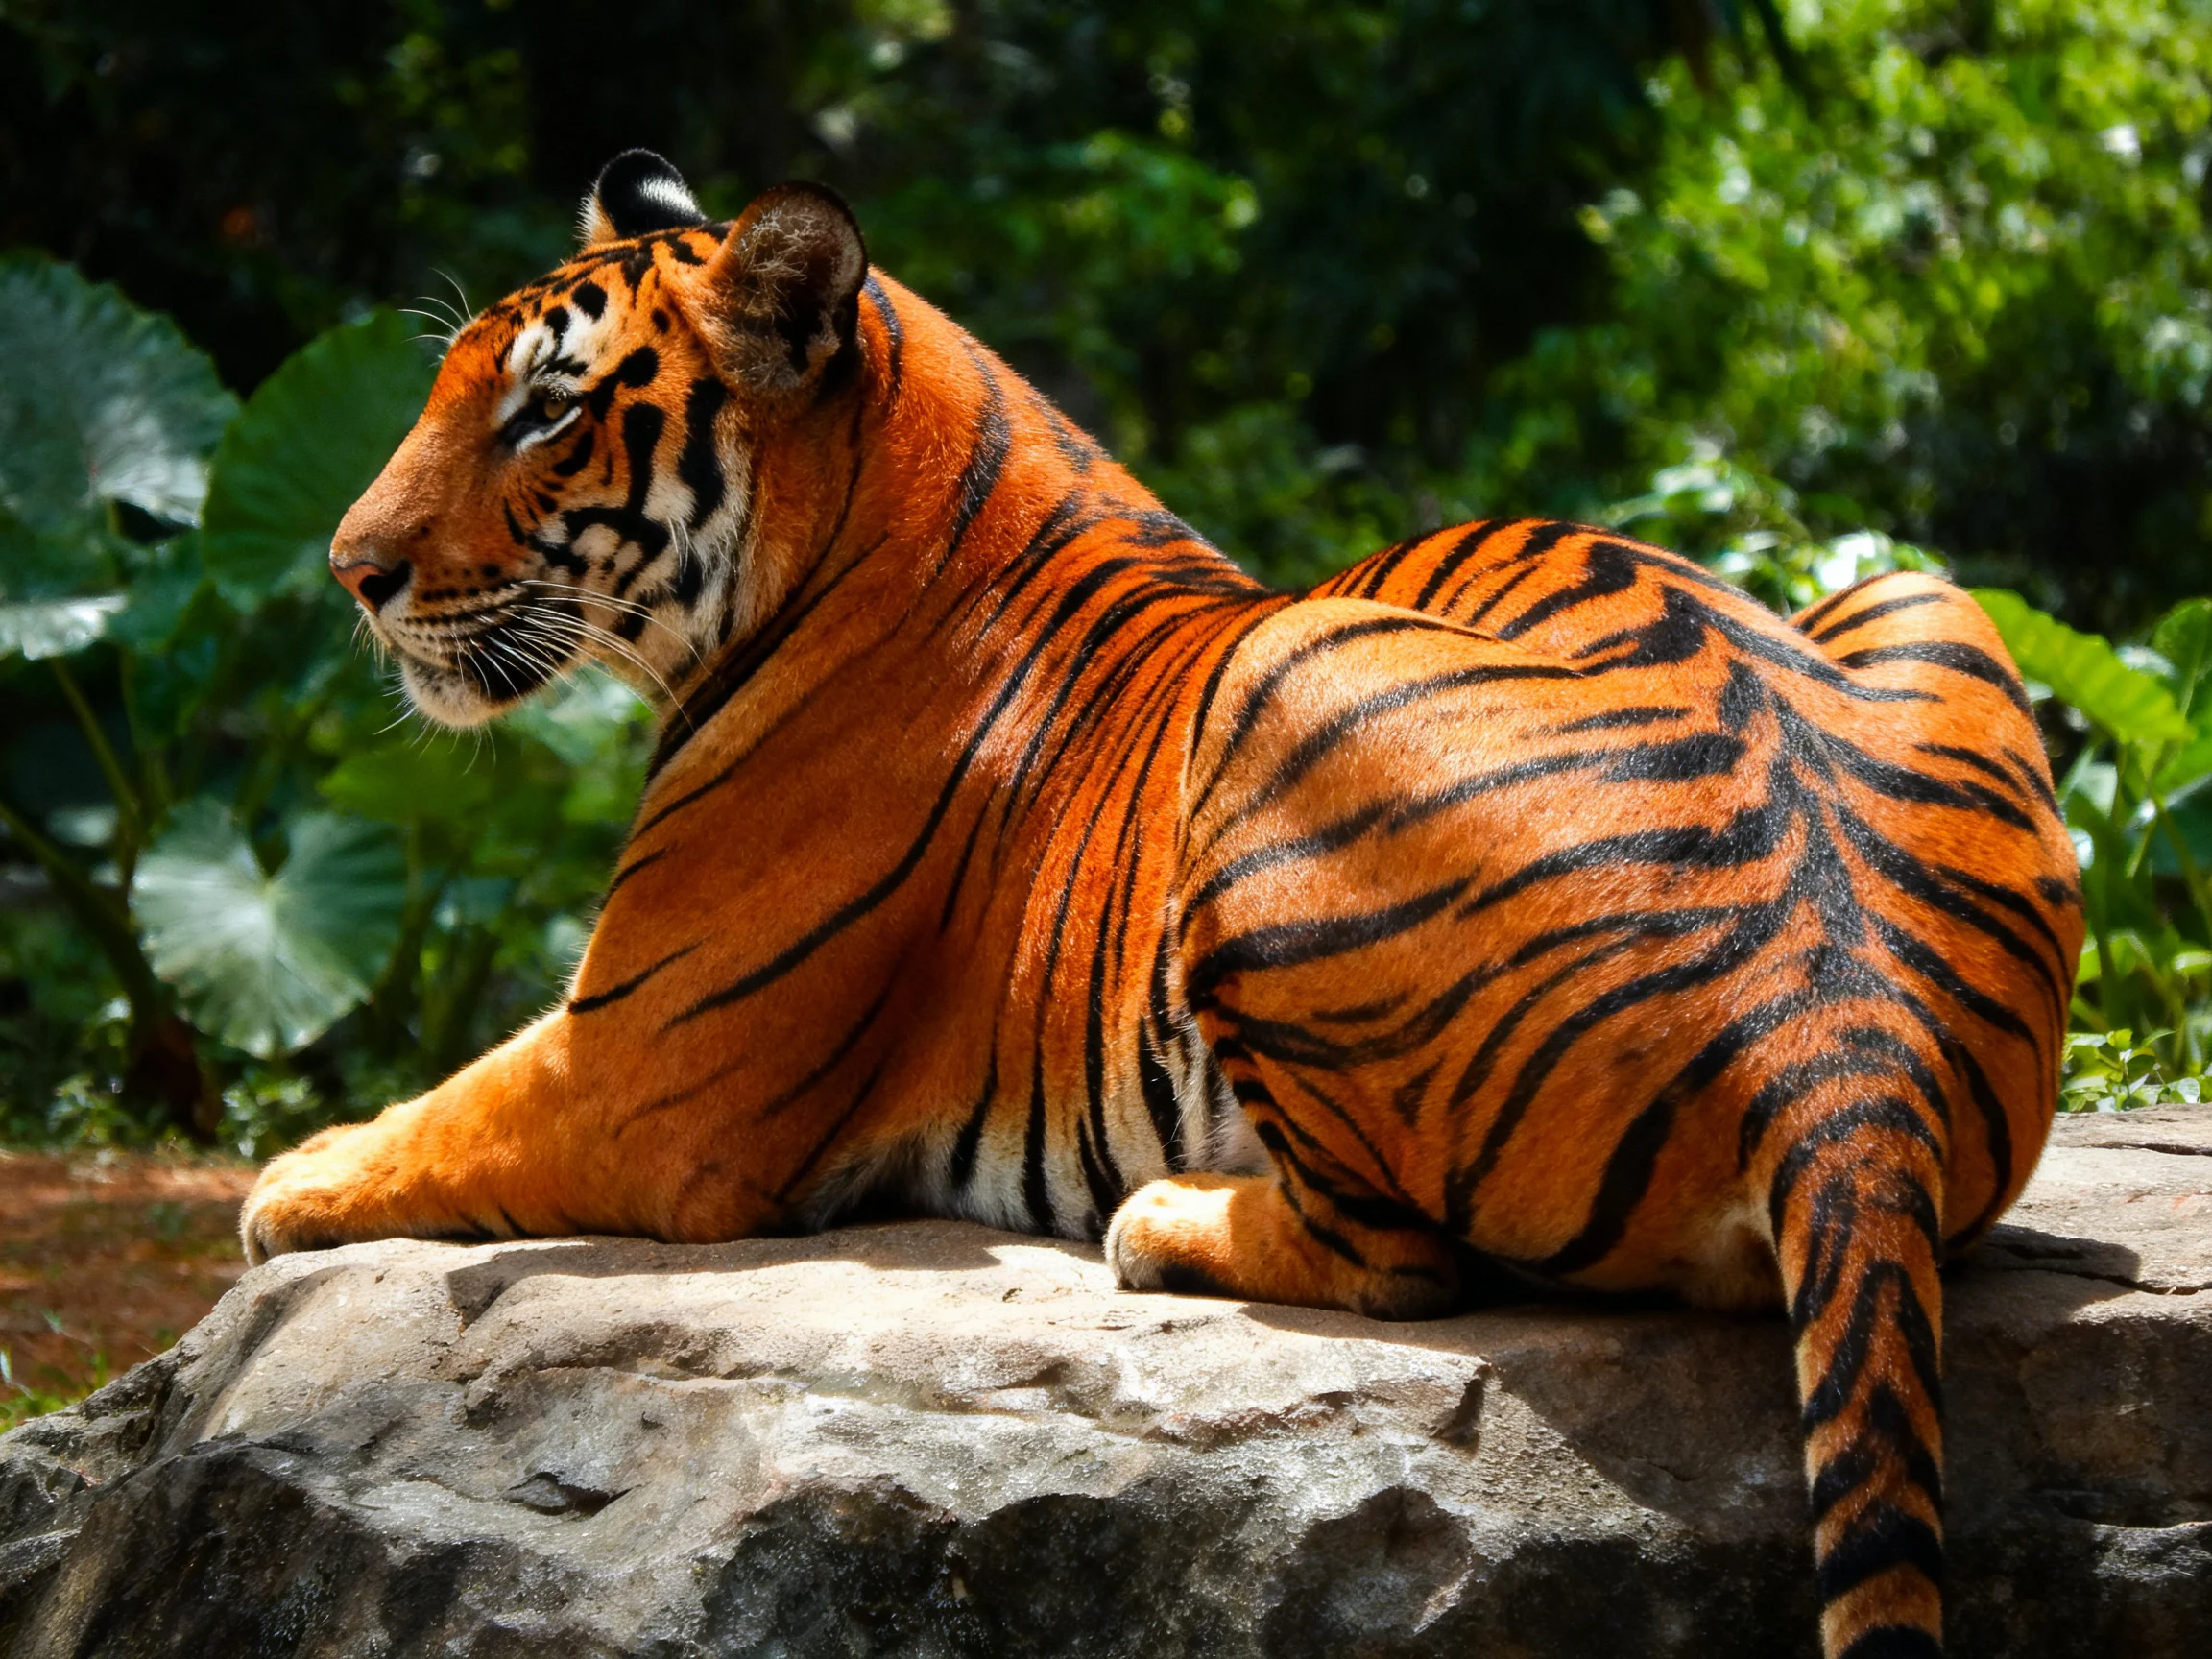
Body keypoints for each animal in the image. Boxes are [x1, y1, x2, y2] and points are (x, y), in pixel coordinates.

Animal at [242, 149, 2082, 1659]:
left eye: (545, 415)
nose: (348, 570)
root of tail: (1837, 1033)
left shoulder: (644, 1073)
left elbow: (442, 1116)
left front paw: (284, 1182)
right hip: (1917, 585)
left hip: (1289, 683)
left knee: (1401, 1264)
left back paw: (1167, 1219)